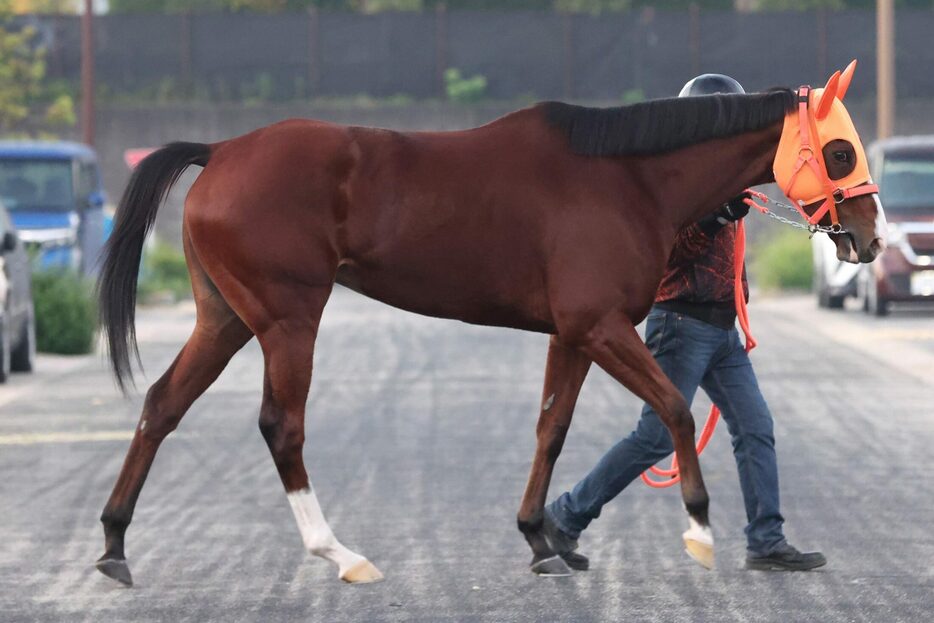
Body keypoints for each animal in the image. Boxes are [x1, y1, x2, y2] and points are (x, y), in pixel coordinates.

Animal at [95, 66, 884, 588]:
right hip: (289, 318)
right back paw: (339, 553)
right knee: (280, 426)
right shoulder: (600, 327)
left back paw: (113, 544)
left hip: (225, 318)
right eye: (841, 151)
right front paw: (697, 530)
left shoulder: (573, 334)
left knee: (162, 405)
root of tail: (221, 151)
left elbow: (551, 429)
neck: (627, 179)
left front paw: (542, 540)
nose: (871, 239)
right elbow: (674, 409)